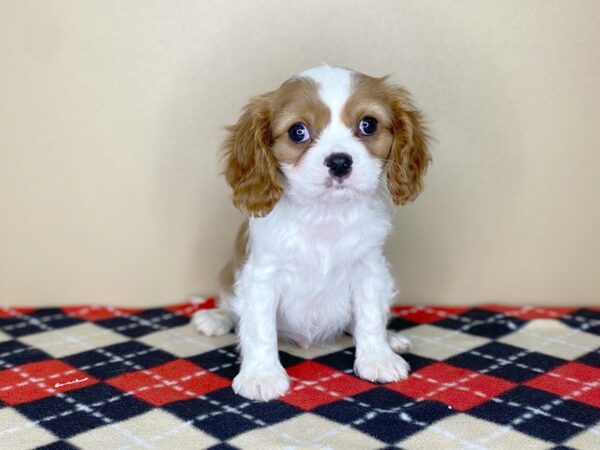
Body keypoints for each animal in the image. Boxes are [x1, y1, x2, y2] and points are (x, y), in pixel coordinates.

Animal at [195, 65, 428, 400]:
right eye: (298, 131)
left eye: (368, 125)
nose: (340, 161)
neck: (324, 213)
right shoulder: (261, 276)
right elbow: (260, 329)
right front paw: (261, 375)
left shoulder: (369, 270)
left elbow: (370, 317)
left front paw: (377, 357)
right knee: (230, 307)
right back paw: (215, 318)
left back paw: (391, 338)